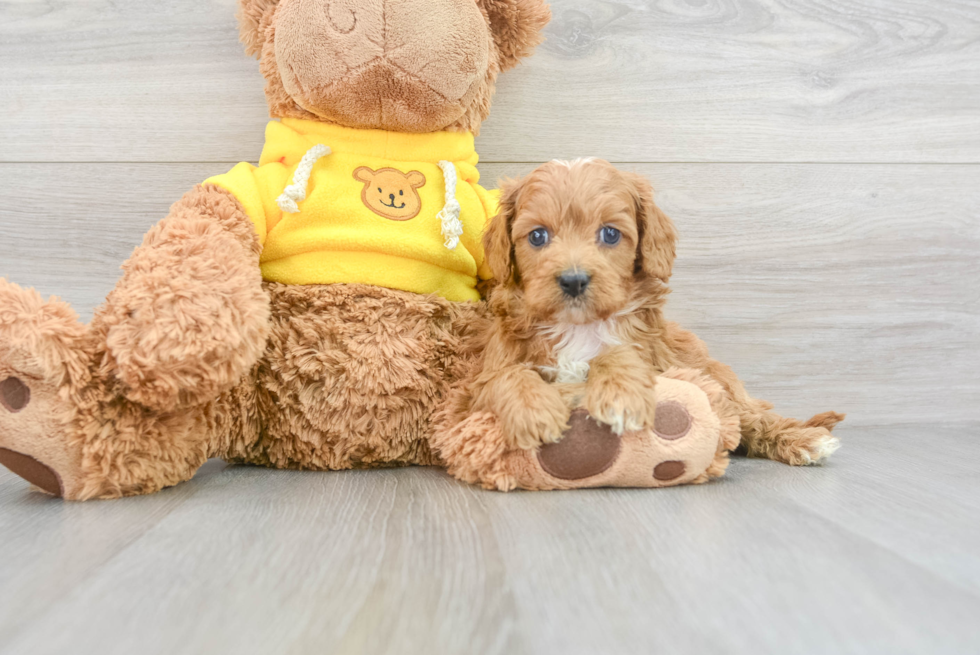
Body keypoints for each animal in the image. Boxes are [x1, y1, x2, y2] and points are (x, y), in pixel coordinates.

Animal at [468, 159, 844, 466]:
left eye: (610, 233)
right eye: (537, 236)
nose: (573, 280)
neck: (578, 327)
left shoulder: (655, 356)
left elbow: (618, 352)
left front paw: (620, 396)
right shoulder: (481, 379)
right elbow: (506, 377)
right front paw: (533, 413)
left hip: (717, 379)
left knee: (756, 417)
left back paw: (804, 440)